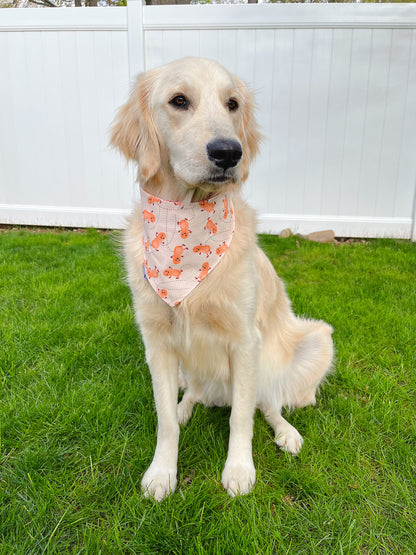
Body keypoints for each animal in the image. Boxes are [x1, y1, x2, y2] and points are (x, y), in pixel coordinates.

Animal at [109, 57, 332, 504]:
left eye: (232, 104)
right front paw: (162, 472)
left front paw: (239, 469)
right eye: (179, 100)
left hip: (314, 340)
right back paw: (187, 406)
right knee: (194, 393)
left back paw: (287, 432)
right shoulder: (157, 341)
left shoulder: (245, 340)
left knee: (269, 403)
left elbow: (242, 418)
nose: (229, 152)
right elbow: (164, 420)